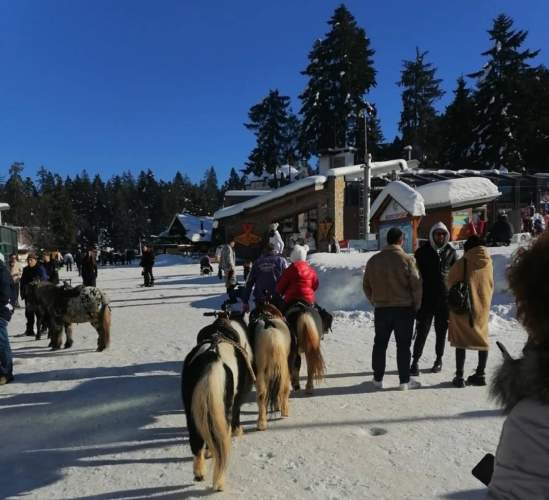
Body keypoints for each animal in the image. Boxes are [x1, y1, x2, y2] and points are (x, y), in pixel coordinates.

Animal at [182, 310, 255, 490]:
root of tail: (211, 358)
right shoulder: (237, 399)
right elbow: (237, 414)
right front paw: (238, 431)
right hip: (223, 408)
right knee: (221, 443)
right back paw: (219, 483)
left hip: (190, 408)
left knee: (196, 440)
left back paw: (199, 473)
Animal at [248, 302, 292, 432]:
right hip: (284, 368)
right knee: (283, 387)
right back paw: (283, 412)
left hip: (262, 371)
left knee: (263, 394)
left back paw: (262, 423)